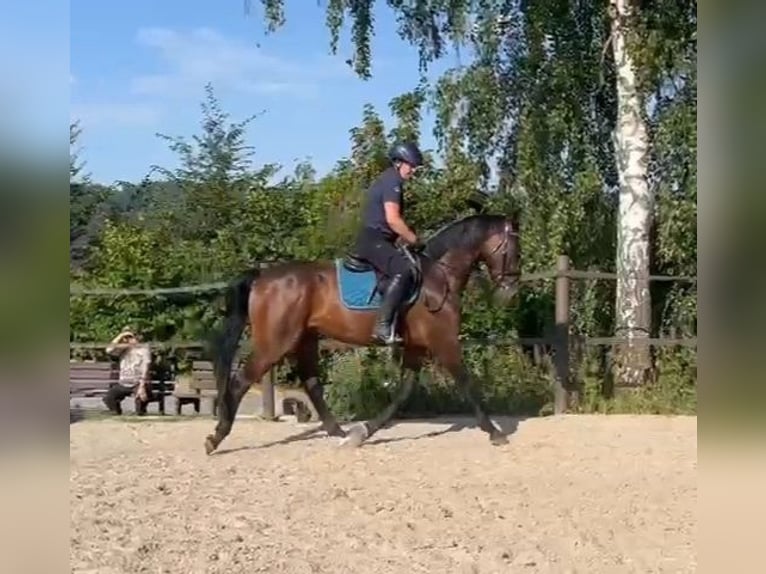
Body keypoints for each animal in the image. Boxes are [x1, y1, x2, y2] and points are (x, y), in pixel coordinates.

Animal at [204, 212, 520, 454]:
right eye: (514, 247)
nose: (510, 291)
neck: (438, 276)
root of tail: (262, 277)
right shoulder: (444, 343)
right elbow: (467, 383)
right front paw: (494, 432)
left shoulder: (415, 347)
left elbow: (403, 393)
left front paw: (364, 432)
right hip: (275, 344)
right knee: (240, 382)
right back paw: (217, 436)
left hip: (304, 340)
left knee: (311, 383)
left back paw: (339, 433)